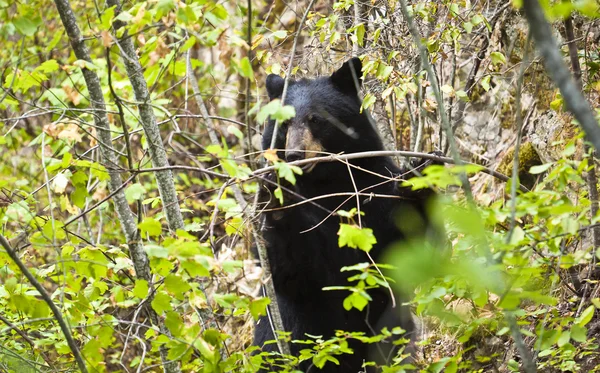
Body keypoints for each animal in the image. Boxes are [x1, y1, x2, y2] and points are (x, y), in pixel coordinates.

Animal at [253, 56, 436, 370]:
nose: (294, 155)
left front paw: (419, 179)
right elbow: (294, 269)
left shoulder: (374, 192)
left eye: (316, 119)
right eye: (284, 123)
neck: (328, 182)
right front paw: (278, 201)